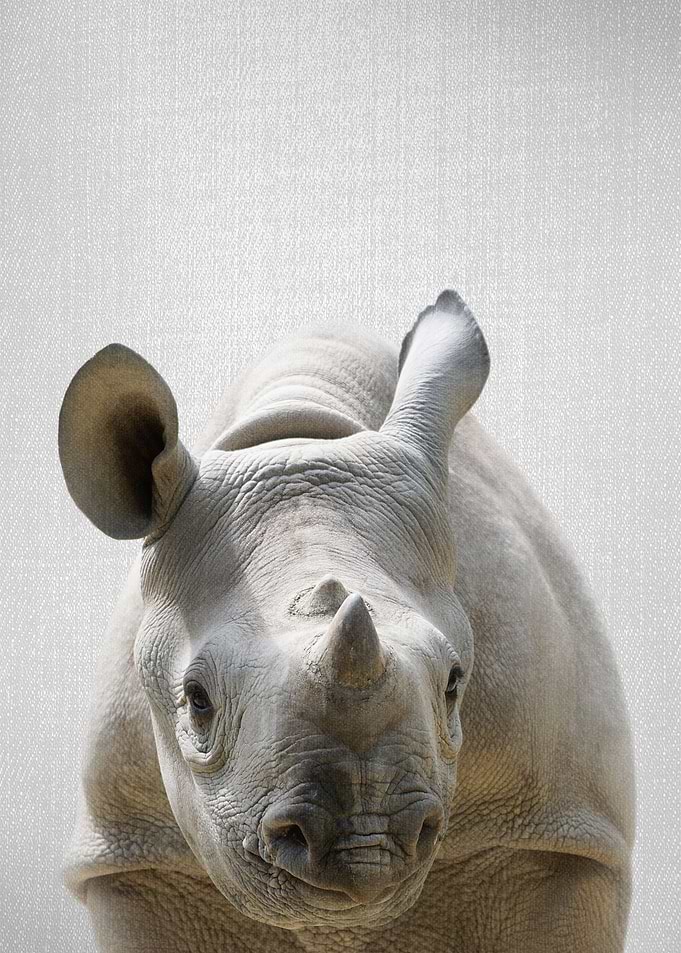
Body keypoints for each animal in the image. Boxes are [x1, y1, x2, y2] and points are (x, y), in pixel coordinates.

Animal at [58, 290, 635, 952]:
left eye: (455, 683)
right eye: (196, 700)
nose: (367, 842)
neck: (296, 437)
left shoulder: (559, 834)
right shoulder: (137, 855)